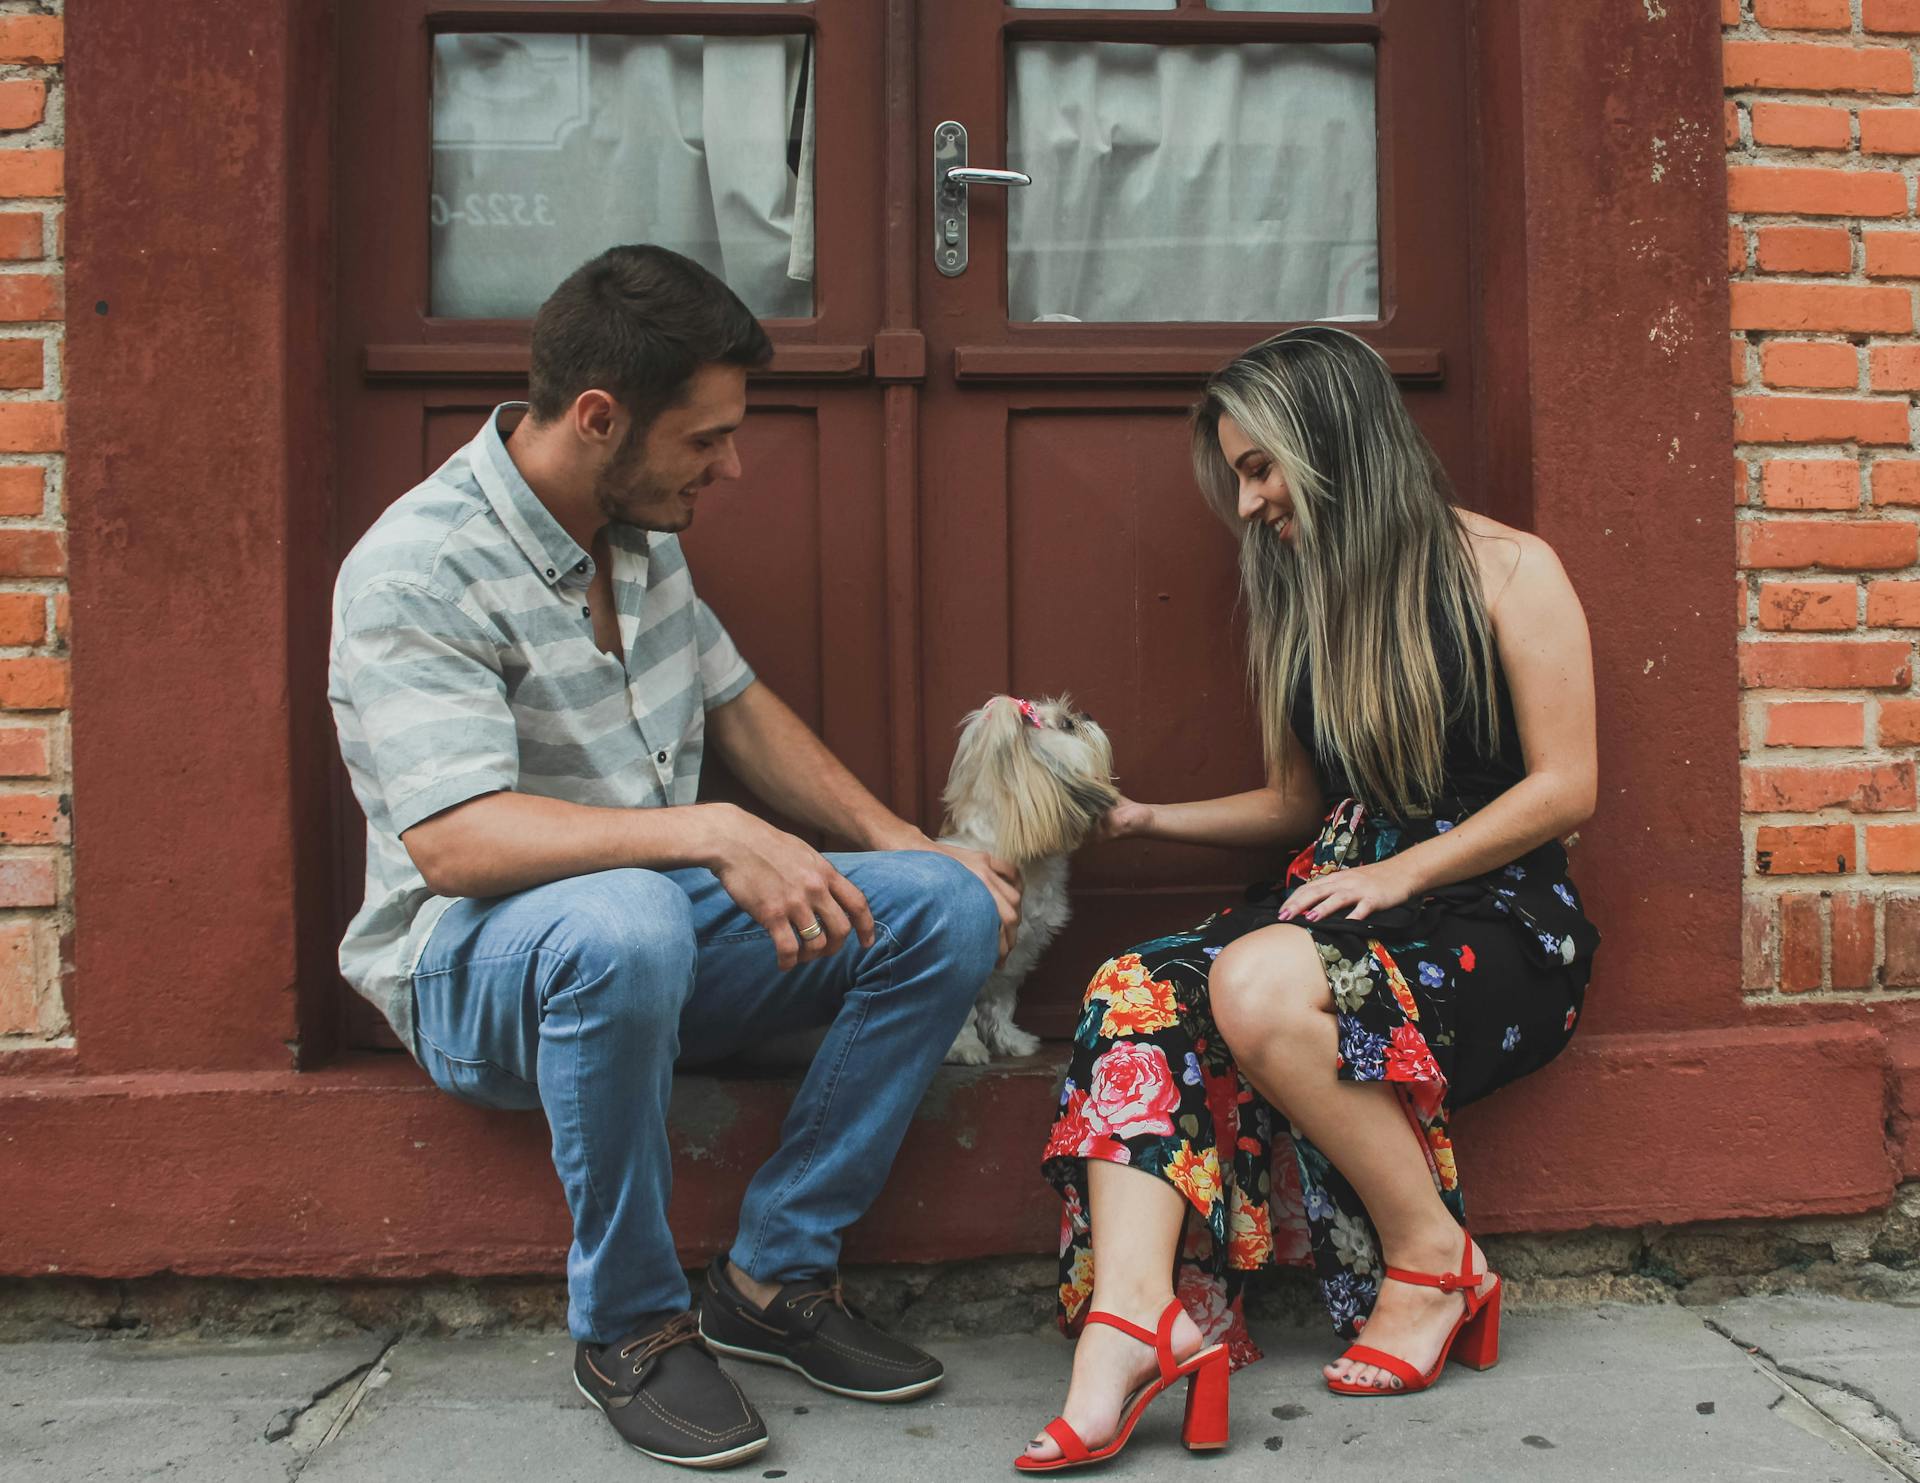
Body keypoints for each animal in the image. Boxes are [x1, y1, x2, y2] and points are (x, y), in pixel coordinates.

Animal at [936, 699, 1121, 1068]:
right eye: (1066, 725)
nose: (1087, 716)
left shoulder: (1015, 958)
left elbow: (1000, 1004)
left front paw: (1011, 1040)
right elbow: (962, 1014)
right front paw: (964, 1048)